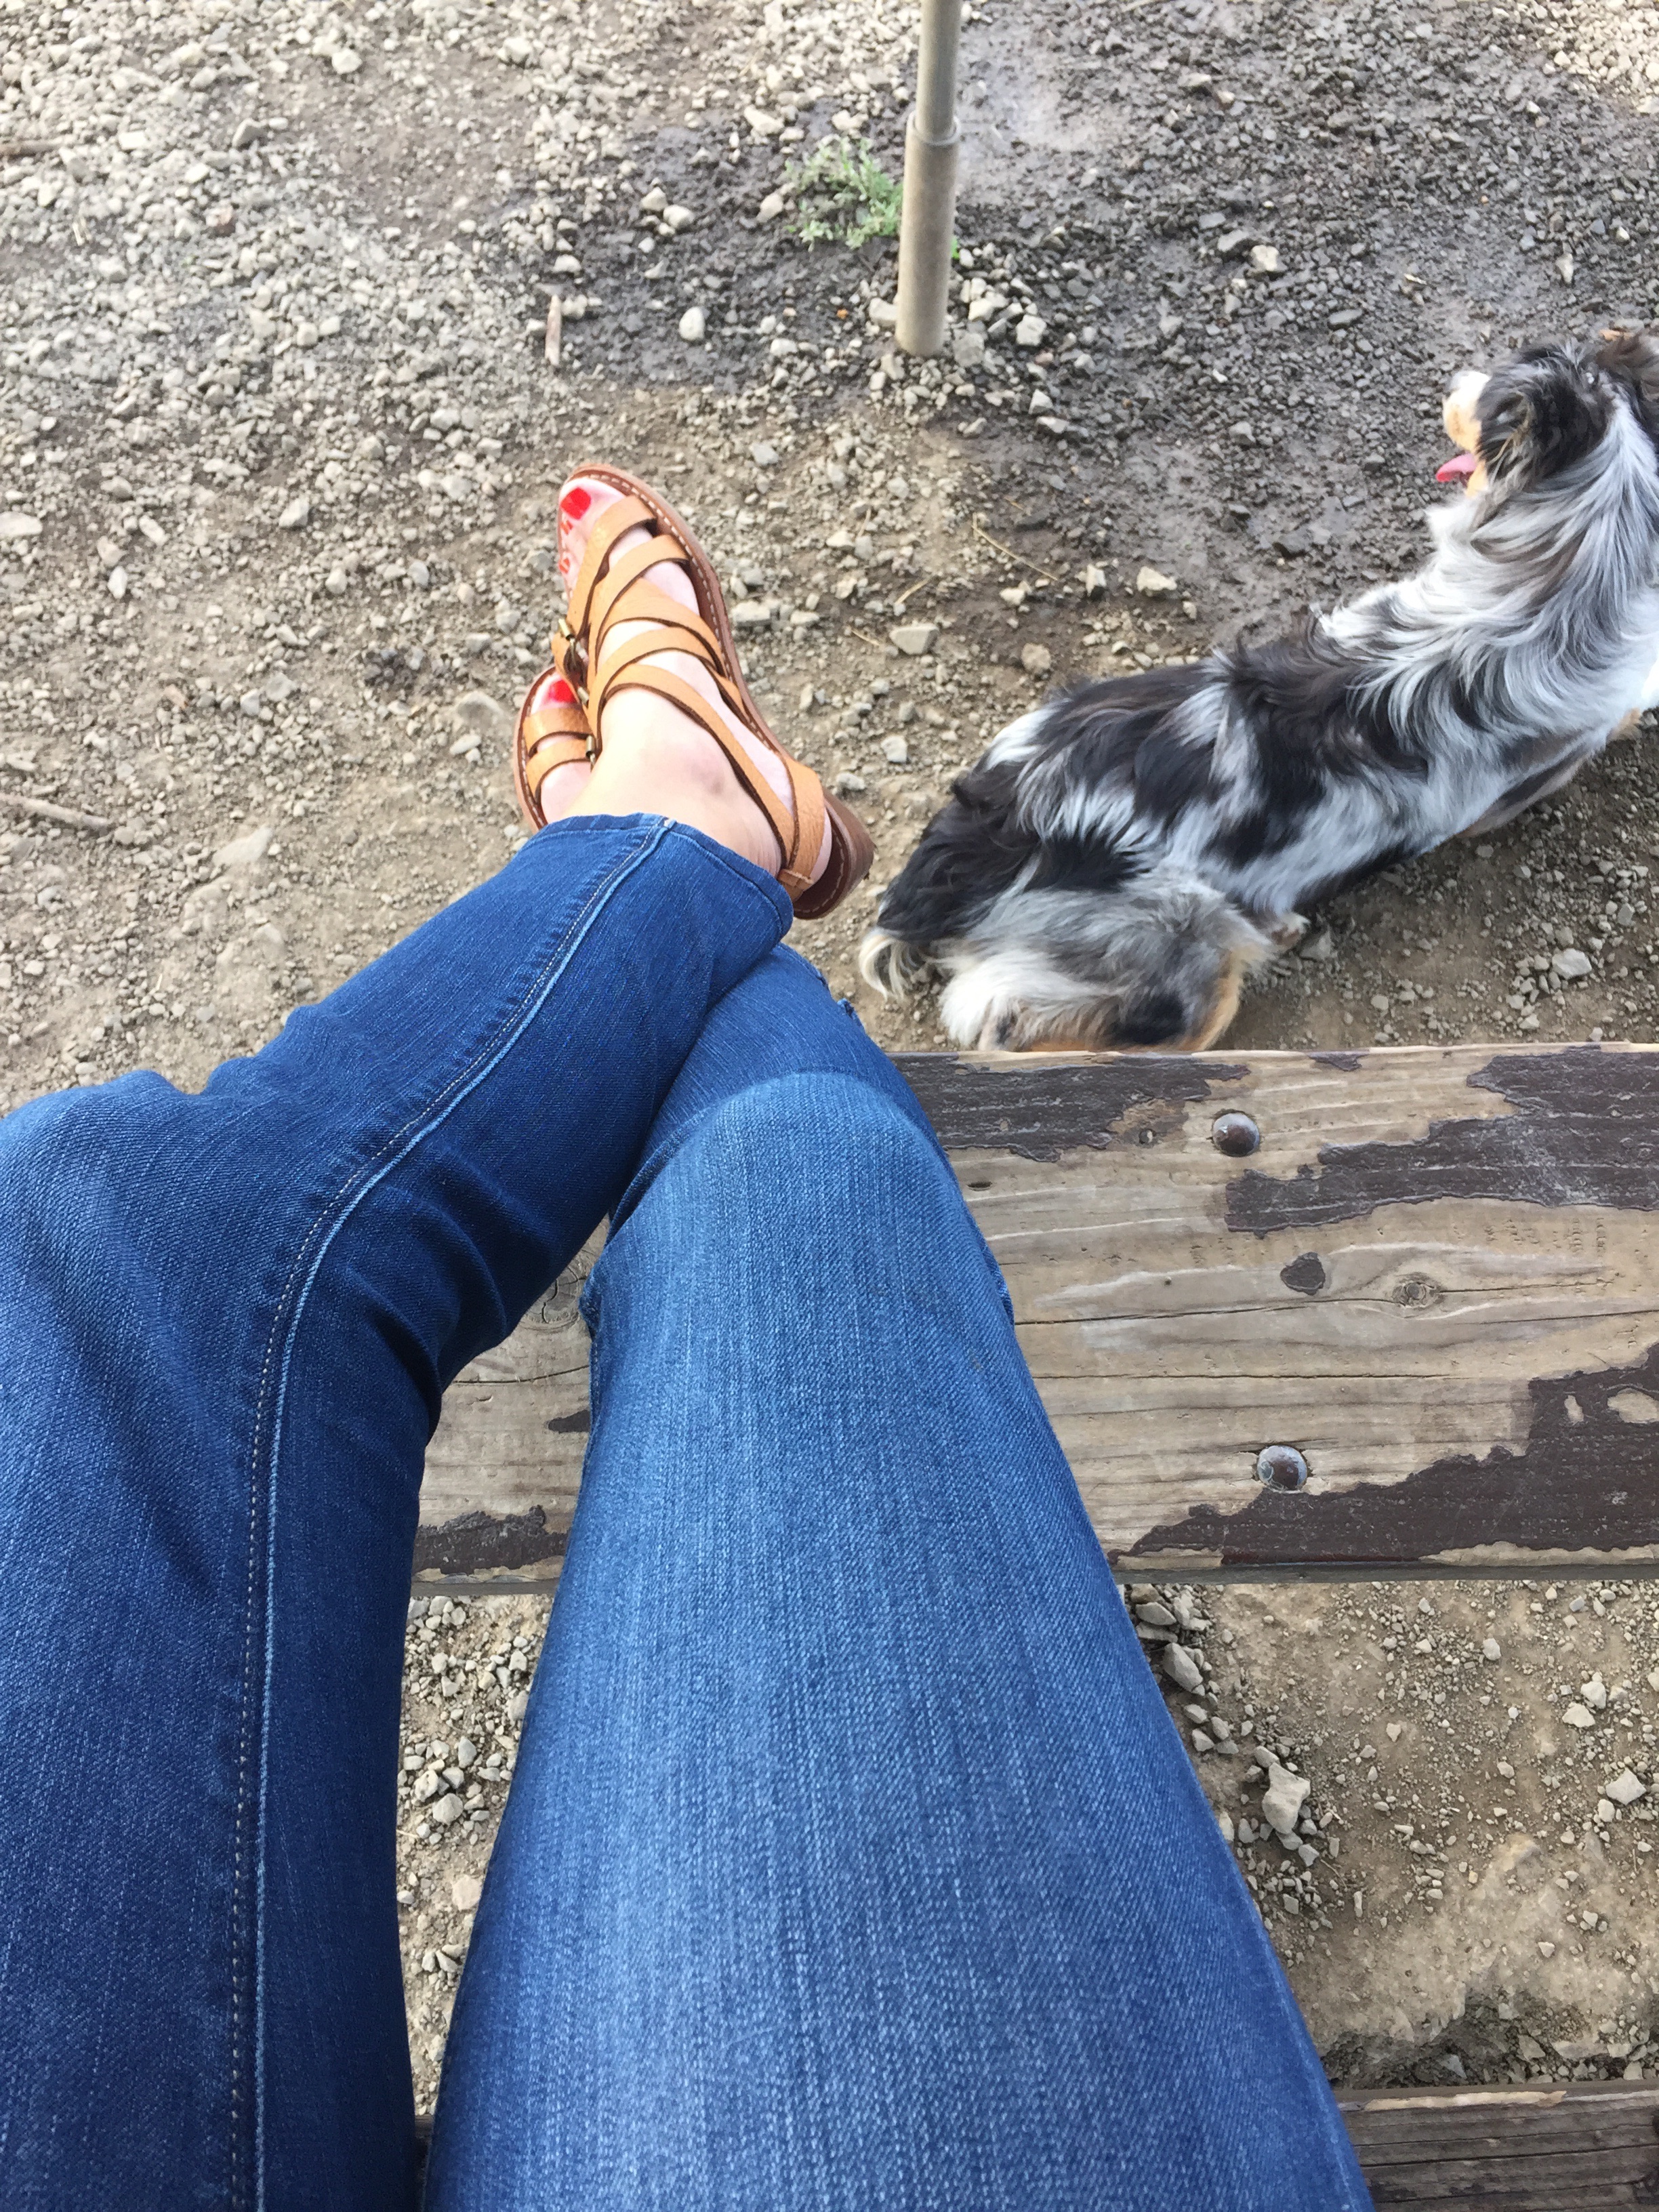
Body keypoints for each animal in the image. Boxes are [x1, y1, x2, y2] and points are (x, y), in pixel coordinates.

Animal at [861, 332, 1659, 1052]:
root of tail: (983, 835)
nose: (1454, 379)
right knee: (1019, 1027)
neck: (1562, 574)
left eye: (1488, 391)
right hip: (1182, 968)